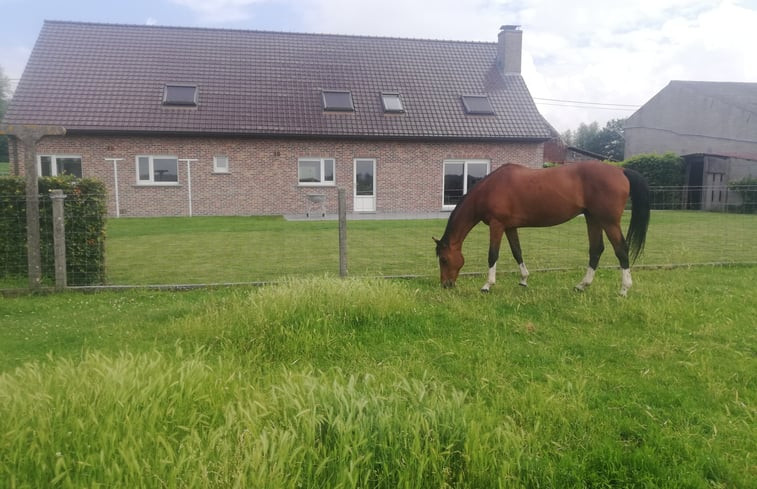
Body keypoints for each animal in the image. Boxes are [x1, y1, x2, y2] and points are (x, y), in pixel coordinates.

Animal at [434, 162, 652, 296]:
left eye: (444, 259)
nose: (445, 285)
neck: (489, 189)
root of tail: (621, 171)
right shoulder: (510, 227)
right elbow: (517, 252)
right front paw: (523, 280)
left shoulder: (497, 225)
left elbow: (492, 255)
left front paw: (487, 285)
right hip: (593, 219)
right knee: (596, 250)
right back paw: (581, 286)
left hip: (609, 222)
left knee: (621, 250)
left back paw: (624, 290)